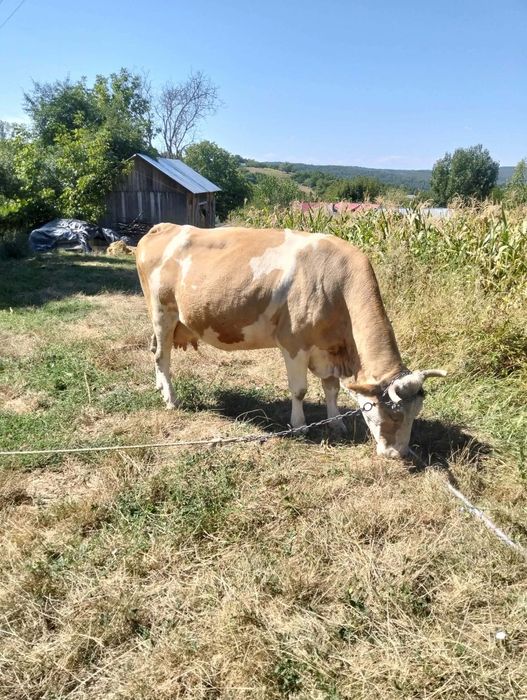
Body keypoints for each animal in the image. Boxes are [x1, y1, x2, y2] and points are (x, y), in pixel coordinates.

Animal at [136, 223, 446, 459]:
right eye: (393, 416)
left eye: (415, 415)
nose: (398, 454)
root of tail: (165, 226)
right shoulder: (294, 343)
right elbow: (299, 390)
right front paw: (299, 426)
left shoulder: (326, 349)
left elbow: (331, 388)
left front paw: (336, 423)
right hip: (162, 313)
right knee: (162, 356)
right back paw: (171, 399)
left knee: (155, 351)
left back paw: (159, 387)